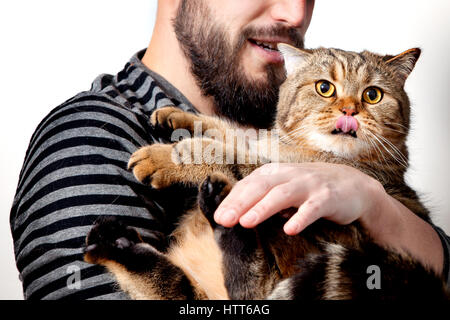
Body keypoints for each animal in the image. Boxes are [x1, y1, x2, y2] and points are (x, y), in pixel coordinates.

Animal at [83, 44, 446, 300]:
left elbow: (229, 155)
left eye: (372, 95)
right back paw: (116, 243)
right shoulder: (263, 142)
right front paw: (177, 116)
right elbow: (232, 132)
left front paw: (166, 157)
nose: (349, 110)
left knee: (248, 282)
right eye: (325, 88)